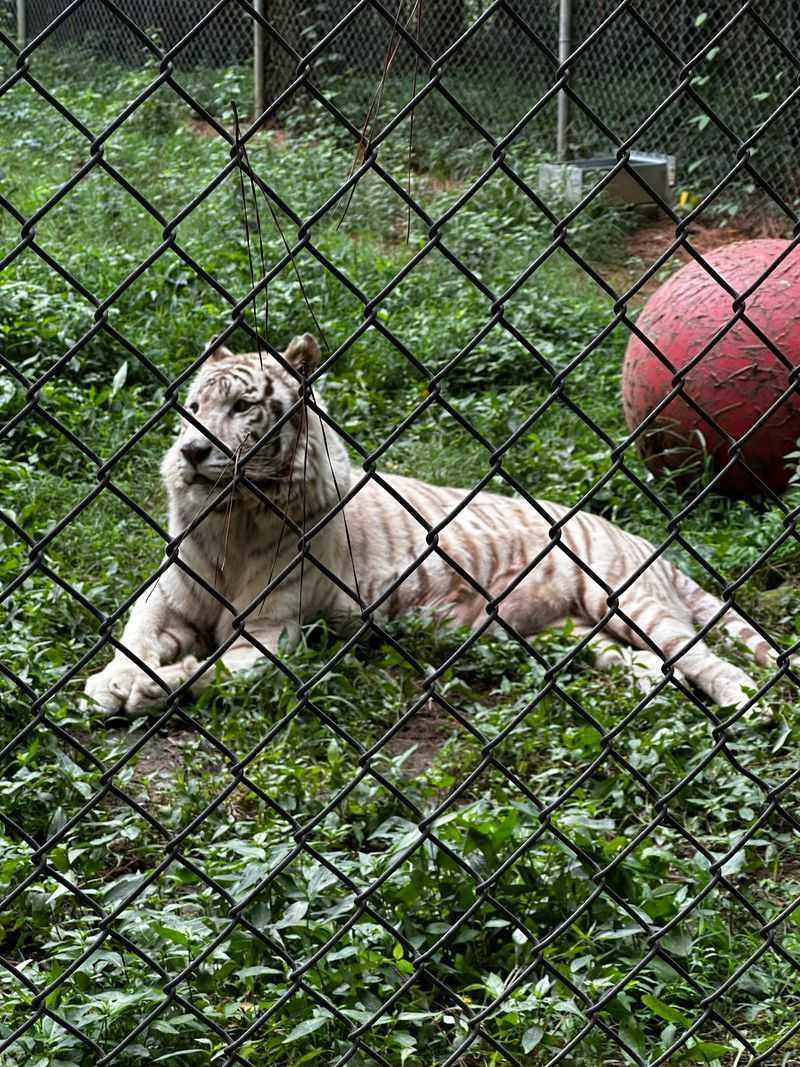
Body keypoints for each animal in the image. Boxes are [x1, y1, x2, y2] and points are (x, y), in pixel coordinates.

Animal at [82, 333, 775, 717]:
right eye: (193, 406)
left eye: (242, 406)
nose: (191, 452)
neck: (235, 521)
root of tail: (645, 540)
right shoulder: (167, 596)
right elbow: (136, 637)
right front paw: (113, 680)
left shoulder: (272, 634)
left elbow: (209, 670)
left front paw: (151, 689)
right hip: (579, 630)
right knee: (645, 660)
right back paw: (643, 681)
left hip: (629, 600)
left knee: (707, 657)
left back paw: (744, 702)